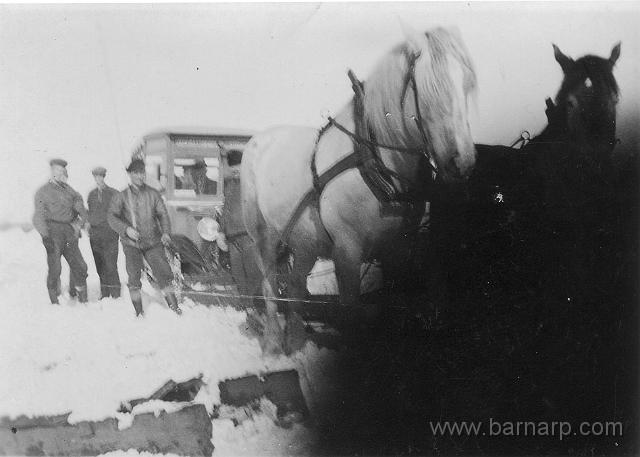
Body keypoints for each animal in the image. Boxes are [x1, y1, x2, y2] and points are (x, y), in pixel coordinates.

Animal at [242, 25, 478, 352]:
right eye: (430, 89)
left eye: (466, 85)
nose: (462, 163)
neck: (375, 163)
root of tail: (259, 138)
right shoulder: (347, 253)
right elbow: (351, 316)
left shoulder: (397, 250)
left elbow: (393, 307)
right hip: (263, 236)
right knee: (268, 285)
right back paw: (274, 343)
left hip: (304, 243)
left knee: (295, 286)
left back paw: (298, 342)